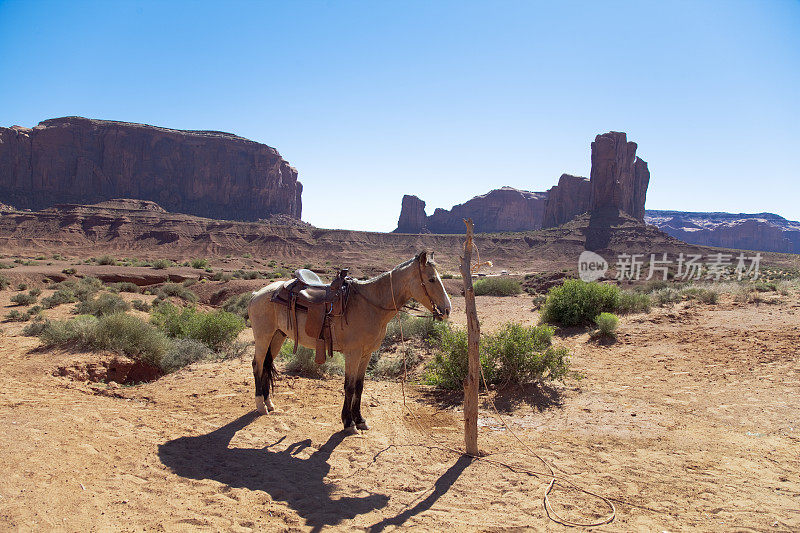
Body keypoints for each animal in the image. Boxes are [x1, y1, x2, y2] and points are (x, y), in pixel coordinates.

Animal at [247, 251, 454, 430]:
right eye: (432, 279)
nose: (447, 310)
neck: (370, 305)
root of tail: (257, 294)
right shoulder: (353, 354)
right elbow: (349, 386)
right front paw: (348, 422)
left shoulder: (366, 354)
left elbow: (359, 387)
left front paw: (360, 419)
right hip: (263, 336)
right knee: (258, 365)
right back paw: (260, 405)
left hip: (277, 336)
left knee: (266, 364)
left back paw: (268, 402)